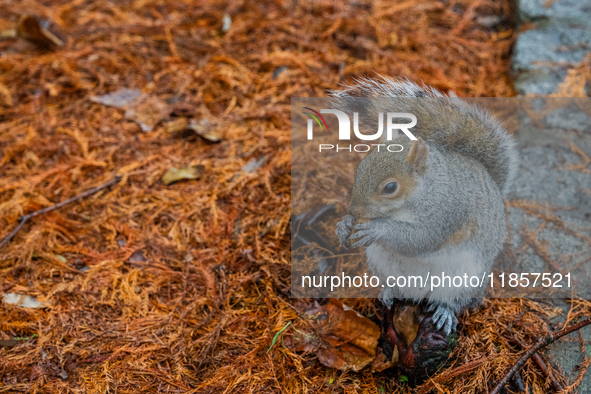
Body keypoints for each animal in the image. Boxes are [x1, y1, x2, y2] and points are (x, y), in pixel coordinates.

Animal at [336, 77, 520, 336]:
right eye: (360, 169)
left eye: (390, 187)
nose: (354, 211)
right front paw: (344, 225)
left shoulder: (448, 210)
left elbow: (420, 238)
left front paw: (376, 229)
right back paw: (388, 292)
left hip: (465, 279)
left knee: (455, 302)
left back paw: (445, 312)